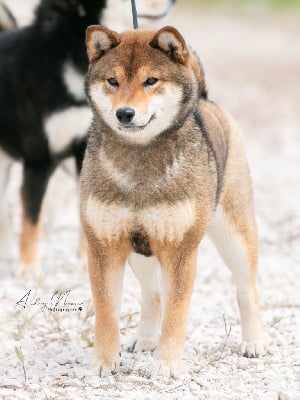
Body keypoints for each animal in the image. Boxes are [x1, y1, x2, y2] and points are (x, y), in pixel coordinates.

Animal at [0, 0, 176, 276]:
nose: (172, 2)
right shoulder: (39, 158)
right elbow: (31, 218)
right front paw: (28, 267)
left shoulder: (86, 151)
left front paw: (87, 260)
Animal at [79, 25, 268, 378]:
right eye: (113, 81)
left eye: (150, 81)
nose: (124, 113)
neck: (139, 160)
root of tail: (205, 100)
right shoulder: (104, 246)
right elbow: (107, 313)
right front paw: (104, 362)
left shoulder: (180, 251)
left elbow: (176, 313)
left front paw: (166, 364)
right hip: (139, 251)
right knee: (152, 293)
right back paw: (144, 338)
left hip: (234, 236)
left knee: (245, 290)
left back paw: (254, 342)